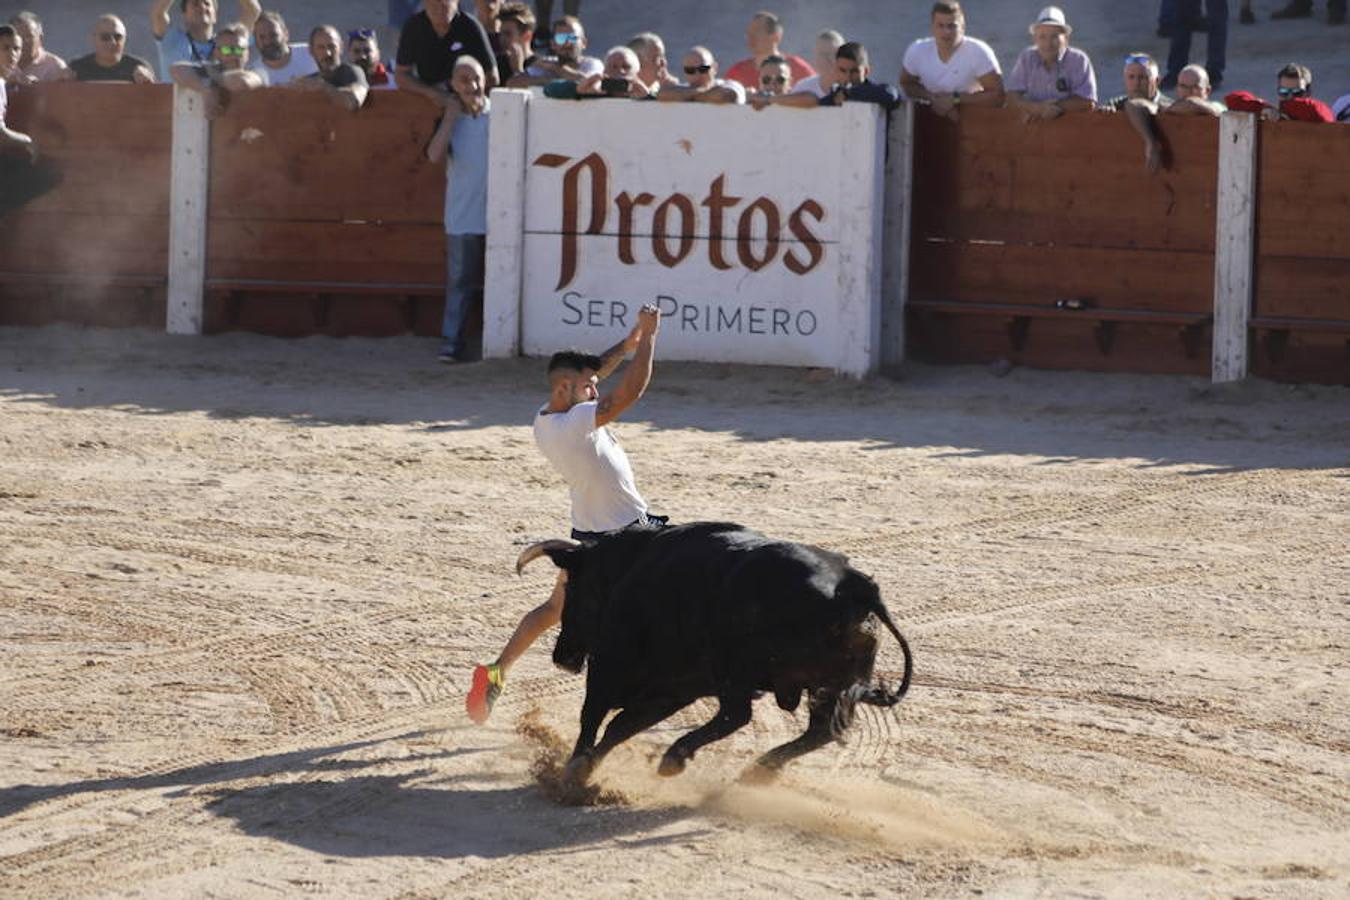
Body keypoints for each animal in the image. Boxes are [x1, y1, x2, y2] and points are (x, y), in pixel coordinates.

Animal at [515, 523, 918, 782]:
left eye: (572, 589)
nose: (563, 658)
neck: (627, 570)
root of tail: (854, 586)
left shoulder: (612, 664)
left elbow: (595, 715)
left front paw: (575, 769)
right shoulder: (676, 688)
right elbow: (622, 725)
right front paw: (586, 770)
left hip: (737, 673)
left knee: (738, 715)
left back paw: (677, 758)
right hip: (827, 686)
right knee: (820, 730)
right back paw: (756, 770)